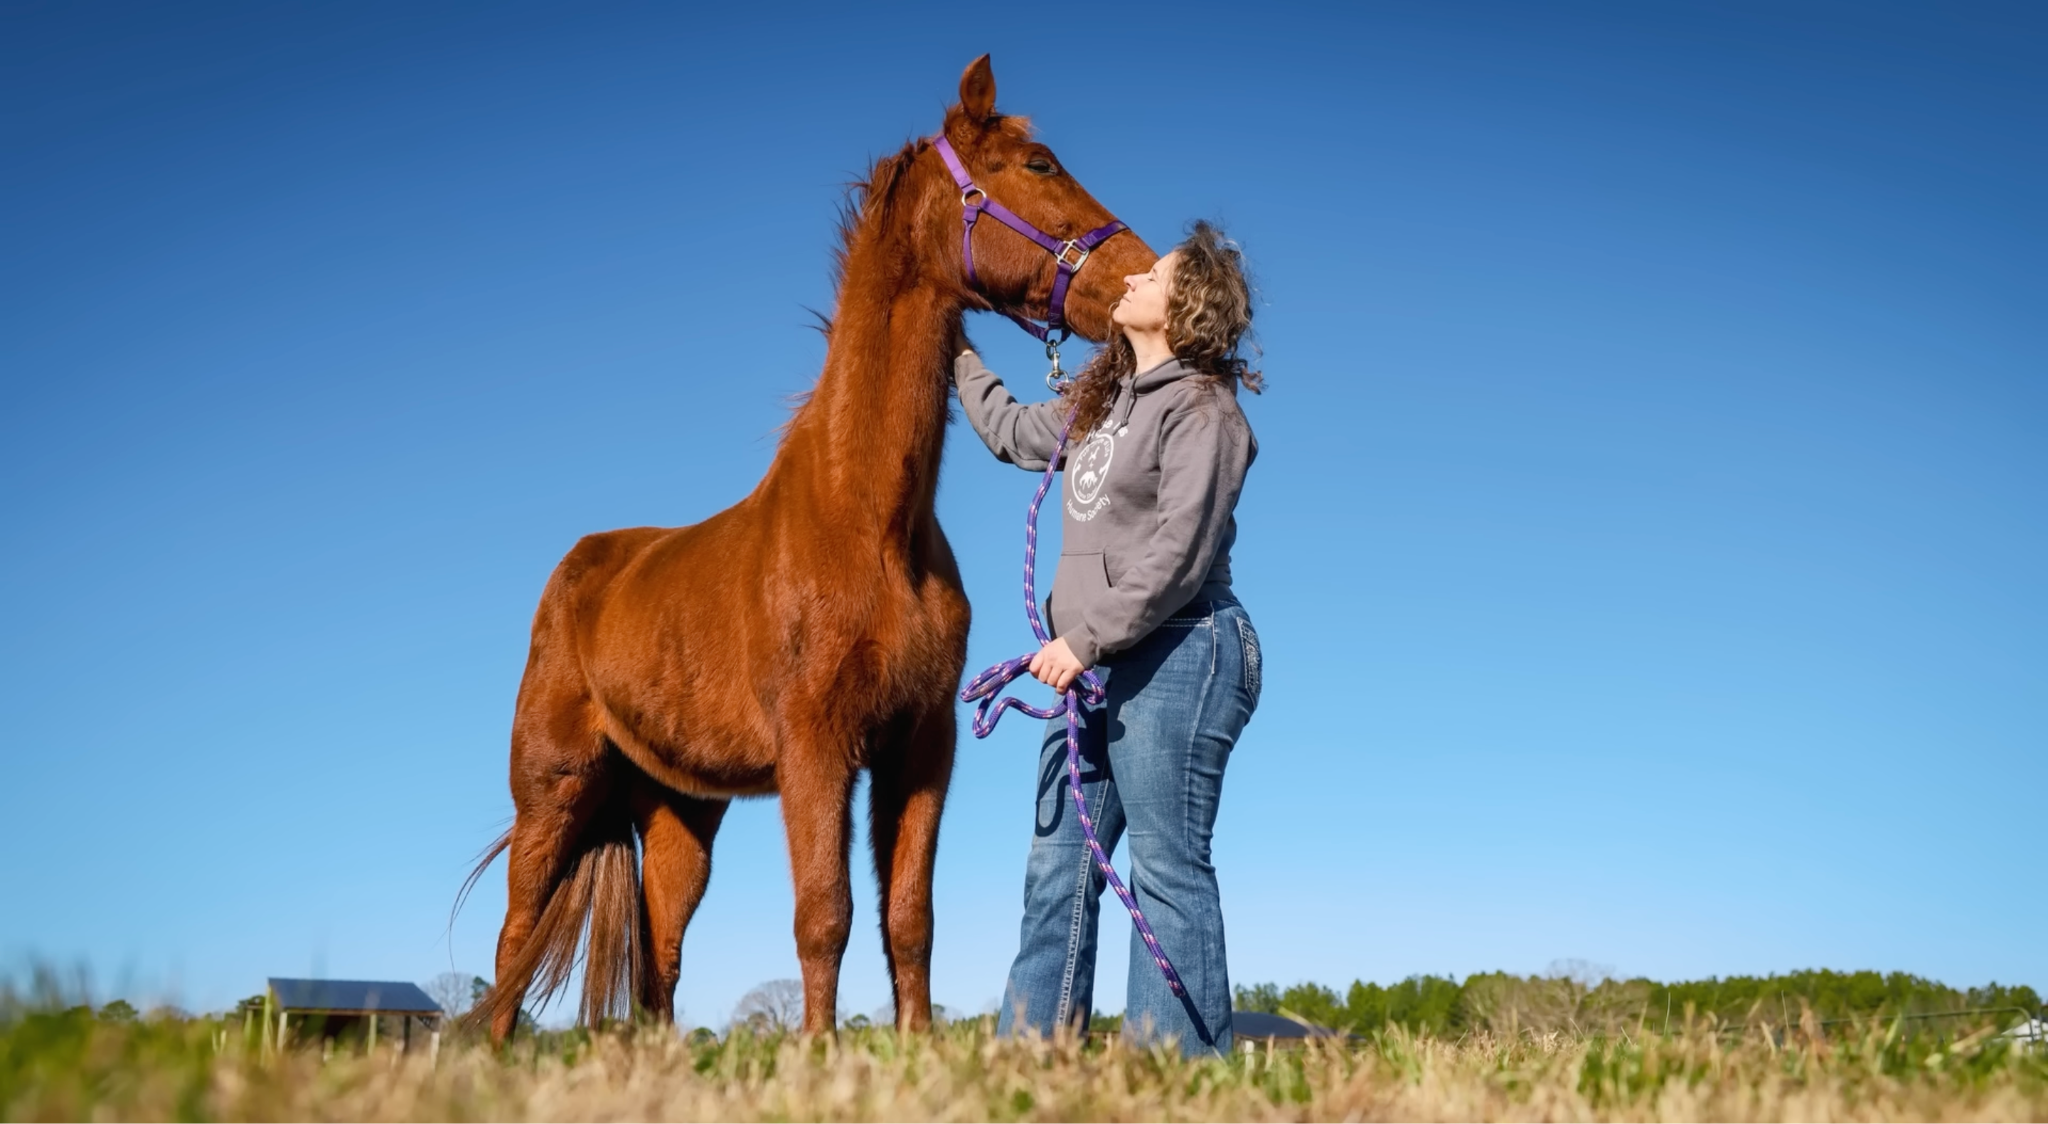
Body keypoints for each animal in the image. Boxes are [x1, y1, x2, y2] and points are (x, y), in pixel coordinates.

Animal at [468, 55, 1156, 1042]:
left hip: (681, 810)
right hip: (552, 791)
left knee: (657, 954)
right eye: (1038, 163)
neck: (867, 522)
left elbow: (908, 917)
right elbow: (824, 912)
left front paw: (914, 1050)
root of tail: (578, 569)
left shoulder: (920, 746)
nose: (1148, 275)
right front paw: (818, 1052)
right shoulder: (815, 750)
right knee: (515, 940)